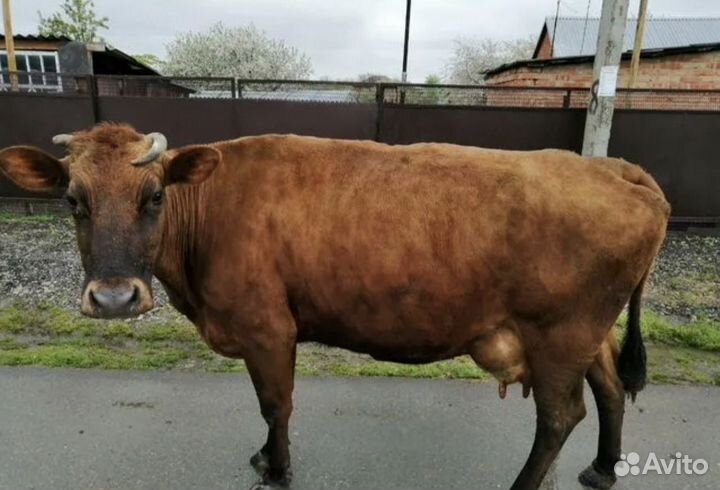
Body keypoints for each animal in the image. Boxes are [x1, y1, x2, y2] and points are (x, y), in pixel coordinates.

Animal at [0, 123, 669, 490]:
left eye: (155, 195)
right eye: (73, 200)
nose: (114, 297)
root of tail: (615, 168)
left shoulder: (267, 327)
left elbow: (276, 403)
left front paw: (276, 469)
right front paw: (267, 457)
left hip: (560, 332)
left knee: (560, 415)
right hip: (587, 331)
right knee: (611, 388)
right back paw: (604, 468)